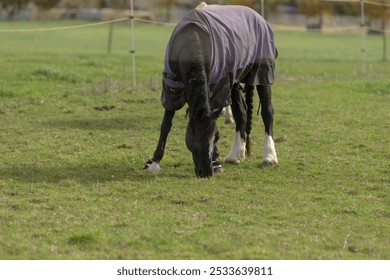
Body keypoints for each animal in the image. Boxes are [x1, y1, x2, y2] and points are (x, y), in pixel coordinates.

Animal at [145, 3, 278, 177]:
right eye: (194, 139)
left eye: (216, 138)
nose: (206, 172)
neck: (192, 41)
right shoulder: (172, 87)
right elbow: (166, 124)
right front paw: (154, 161)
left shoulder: (218, 88)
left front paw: (216, 163)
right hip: (233, 79)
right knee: (241, 114)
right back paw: (235, 155)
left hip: (262, 72)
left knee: (267, 113)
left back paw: (269, 157)